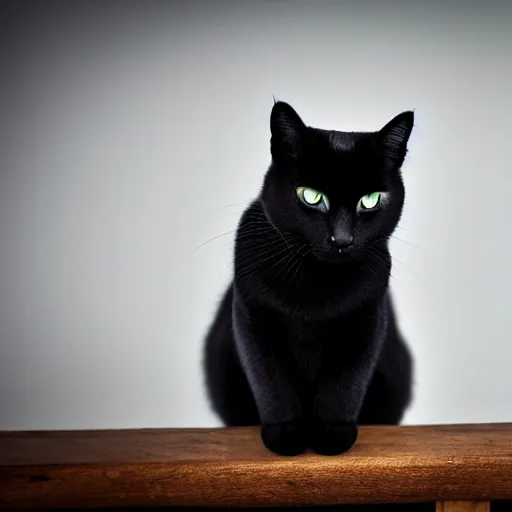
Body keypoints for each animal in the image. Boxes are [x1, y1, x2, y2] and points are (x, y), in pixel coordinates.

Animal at [203, 101, 412, 456]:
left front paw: (332, 434)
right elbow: (271, 384)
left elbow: (345, 386)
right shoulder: (252, 321)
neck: (316, 289)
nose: (342, 239)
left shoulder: (367, 322)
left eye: (370, 200)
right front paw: (285, 435)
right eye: (311, 196)